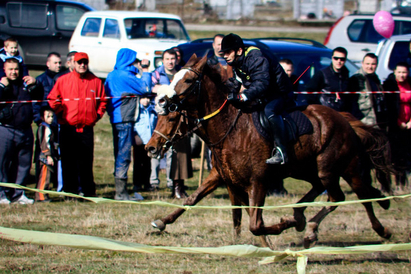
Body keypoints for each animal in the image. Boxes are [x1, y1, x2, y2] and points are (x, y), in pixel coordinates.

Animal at [146, 55, 394, 248]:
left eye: (188, 80)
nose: (150, 148)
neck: (229, 128)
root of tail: (344, 119)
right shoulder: (222, 176)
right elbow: (195, 199)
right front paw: (161, 222)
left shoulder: (258, 181)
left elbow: (255, 224)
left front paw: (280, 230)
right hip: (305, 170)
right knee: (325, 190)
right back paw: (302, 219)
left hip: (339, 168)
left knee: (351, 196)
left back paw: (375, 229)